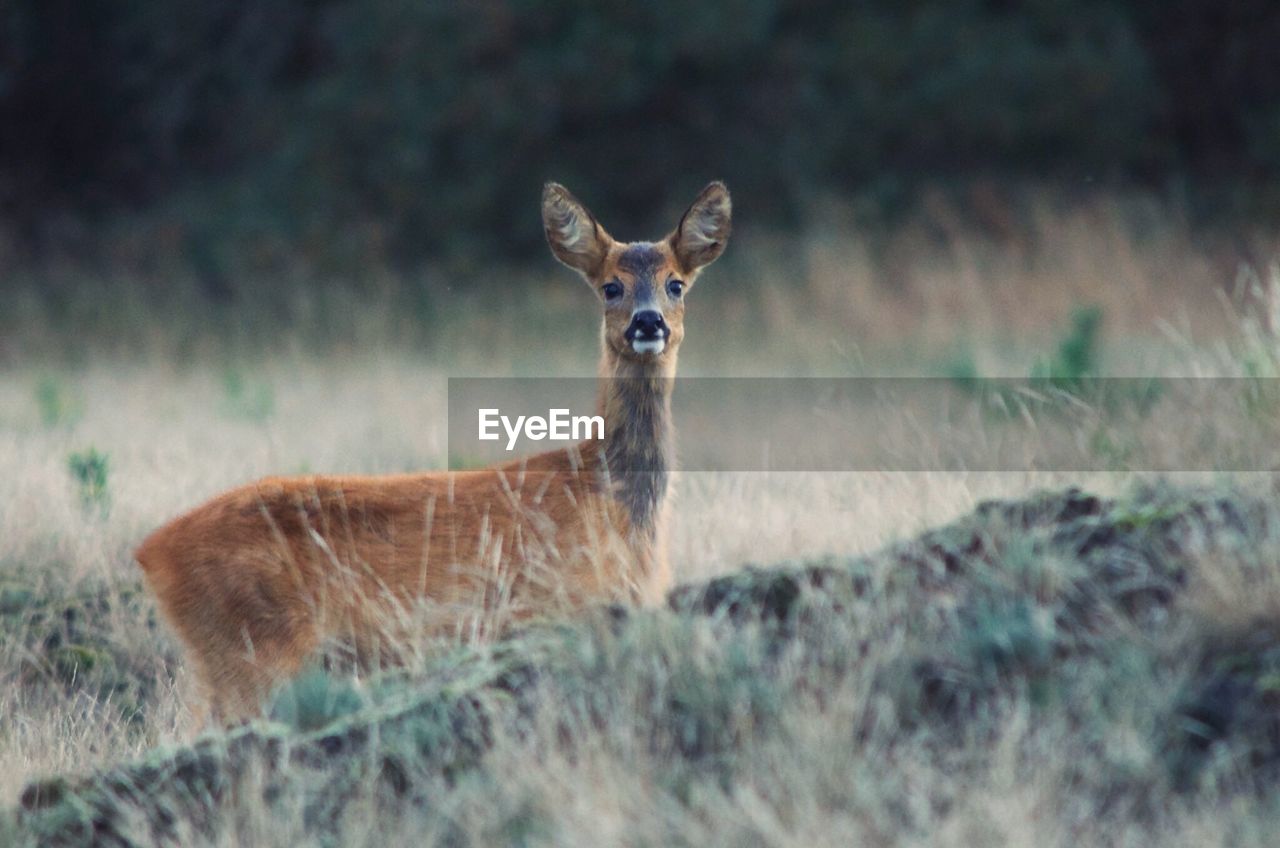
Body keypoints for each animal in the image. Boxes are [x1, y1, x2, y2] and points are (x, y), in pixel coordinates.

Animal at [136, 179, 737, 722]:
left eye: (676, 284)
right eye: (611, 287)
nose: (647, 322)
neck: (610, 496)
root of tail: (151, 552)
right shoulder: (549, 606)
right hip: (254, 648)